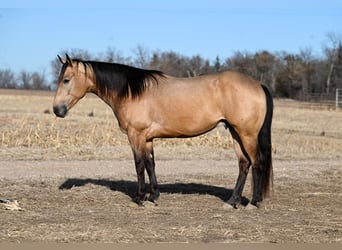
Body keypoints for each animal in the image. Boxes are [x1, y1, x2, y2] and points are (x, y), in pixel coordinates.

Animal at [52, 54, 272, 209]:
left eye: (66, 80)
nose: (57, 110)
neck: (132, 91)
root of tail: (258, 84)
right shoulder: (147, 138)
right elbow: (151, 164)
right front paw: (153, 196)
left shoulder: (136, 135)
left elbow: (139, 164)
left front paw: (140, 198)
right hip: (236, 133)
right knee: (243, 164)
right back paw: (232, 201)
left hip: (247, 135)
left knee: (257, 162)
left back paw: (254, 202)